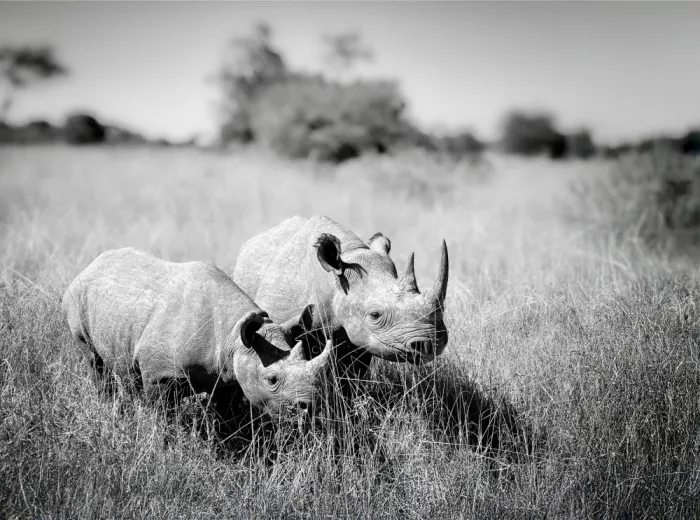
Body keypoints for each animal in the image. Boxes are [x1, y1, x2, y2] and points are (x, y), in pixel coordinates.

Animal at [62, 247, 332, 422]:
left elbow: (225, 416)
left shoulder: (230, 373)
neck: (233, 336)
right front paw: (164, 444)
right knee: (93, 359)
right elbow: (162, 417)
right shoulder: (160, 374)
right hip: (76, 296)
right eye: (271, 379)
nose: (309, 408)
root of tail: (90, 265)